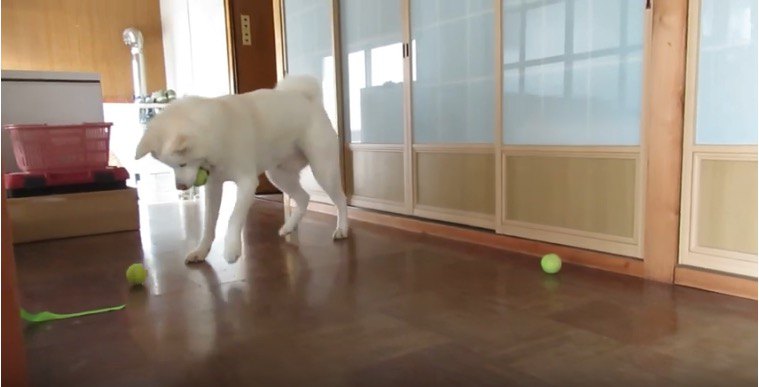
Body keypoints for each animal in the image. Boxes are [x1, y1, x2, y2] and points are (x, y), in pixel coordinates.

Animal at [135, 75, 348, 264]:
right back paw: (289, 226)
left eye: (182, 164)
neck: (216, 135)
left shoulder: (247, 183)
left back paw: (342, 228)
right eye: (170, 167)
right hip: (278, 175)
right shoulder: (213, 187)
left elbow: (233, 218)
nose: (180, 187)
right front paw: (201, 251)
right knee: (304, 198)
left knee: (340, 200)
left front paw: (231, 249)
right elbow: (208, 224)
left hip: (322, 170)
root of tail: (307, 99)